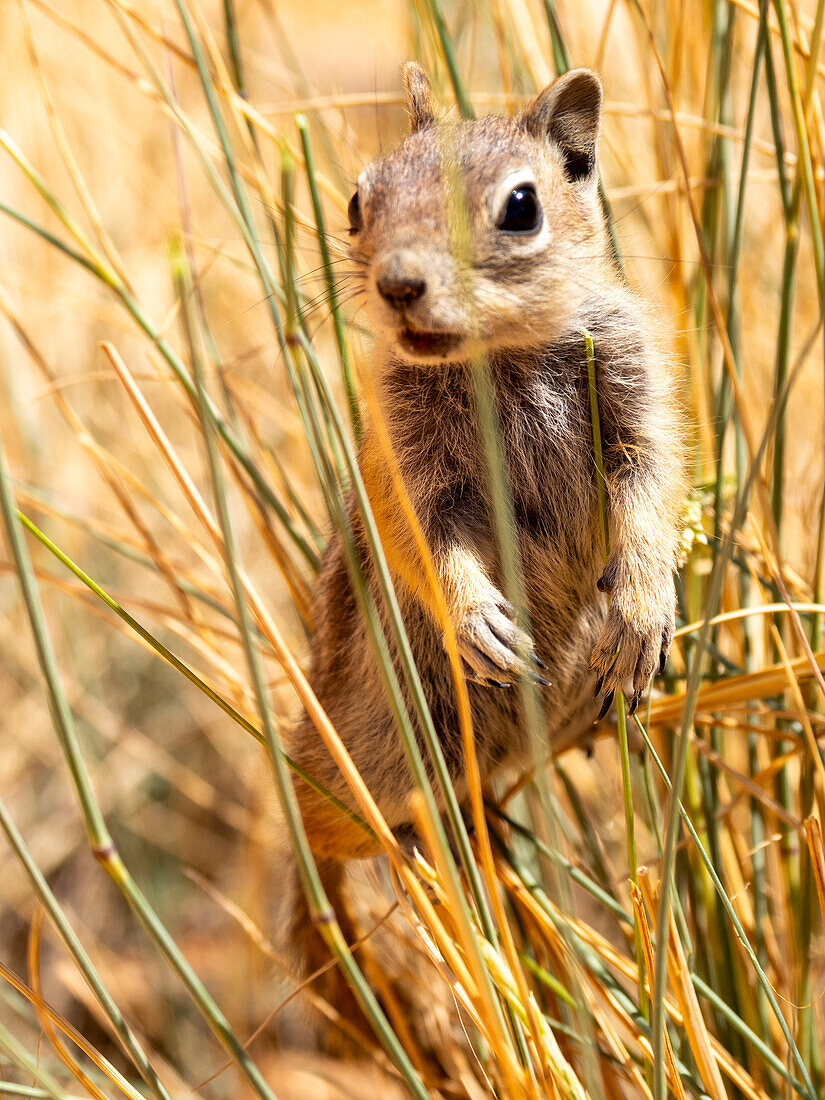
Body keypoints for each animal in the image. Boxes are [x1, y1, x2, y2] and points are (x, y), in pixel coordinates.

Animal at [288, 64, 686, 862]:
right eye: (357, 200)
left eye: (521, 207)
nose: (398, 285)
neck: (498, 356)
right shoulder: (401, 460)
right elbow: (421, 540)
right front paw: (476, 622)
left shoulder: (637, 392)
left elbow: (651, 490)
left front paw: (640, 611)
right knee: (329, 825)